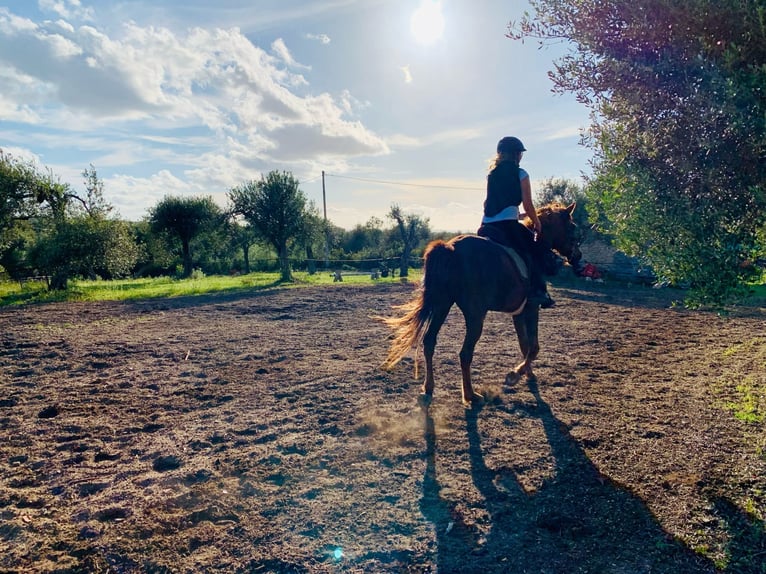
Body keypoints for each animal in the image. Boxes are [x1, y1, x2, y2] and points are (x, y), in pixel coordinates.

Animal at [381, 202, 581, 406]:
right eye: (572, 226)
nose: (578, 256)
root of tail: (450, 248)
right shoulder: (532, 308)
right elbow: (534, 347)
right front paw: (515, 375)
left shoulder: (519, 312)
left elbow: (524, 344)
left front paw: (528, 373)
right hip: (475, 315)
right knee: (465, 353)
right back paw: (470, 395)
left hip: (441, 305)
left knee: (429, 342)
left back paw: (428, 388)